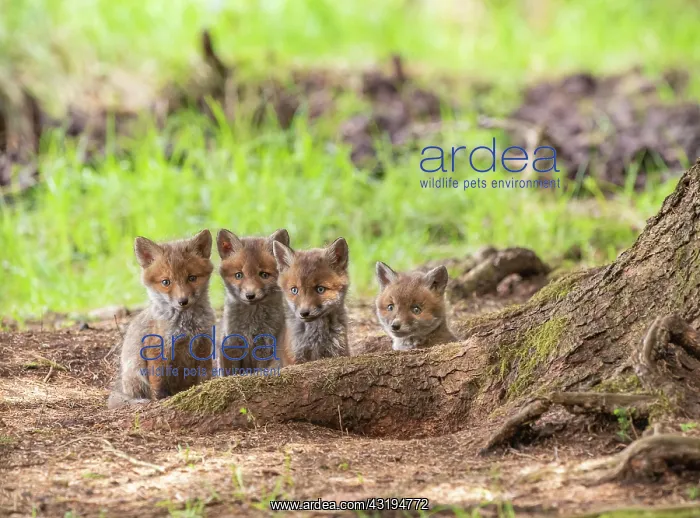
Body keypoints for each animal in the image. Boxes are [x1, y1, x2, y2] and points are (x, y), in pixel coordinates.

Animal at [107, 229, 216, 408]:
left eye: (192, 278)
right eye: (166, 282)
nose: (183, 301)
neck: (187, 326)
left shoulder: (203, 345)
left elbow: (204, 376)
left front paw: (203, 389)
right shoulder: (158, 349)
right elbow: (158, 383)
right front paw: (161, 400)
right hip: (136, 369)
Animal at [216, 228, 290, 372]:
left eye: (264, 275)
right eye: (239, 275)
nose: (250, 295)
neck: (250, 327)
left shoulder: (265, 347)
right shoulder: (231, 344)